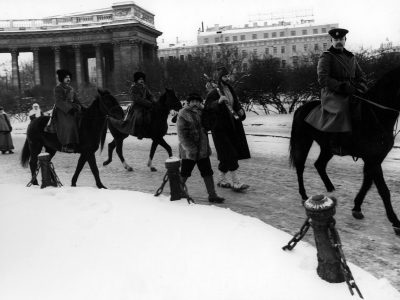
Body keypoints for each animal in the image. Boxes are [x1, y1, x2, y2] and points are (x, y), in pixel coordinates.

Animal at [290, 67, 400, 236]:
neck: (376, 115)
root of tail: (301, 108)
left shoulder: (374, 159)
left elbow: (367, 183)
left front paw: (357, 207)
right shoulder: (372, 160)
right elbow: (383, 190)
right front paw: (395, 221)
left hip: (327, 148)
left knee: (319, 164)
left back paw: (330, 188)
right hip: (303, 142)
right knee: (300, 167)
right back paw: (304, 195)